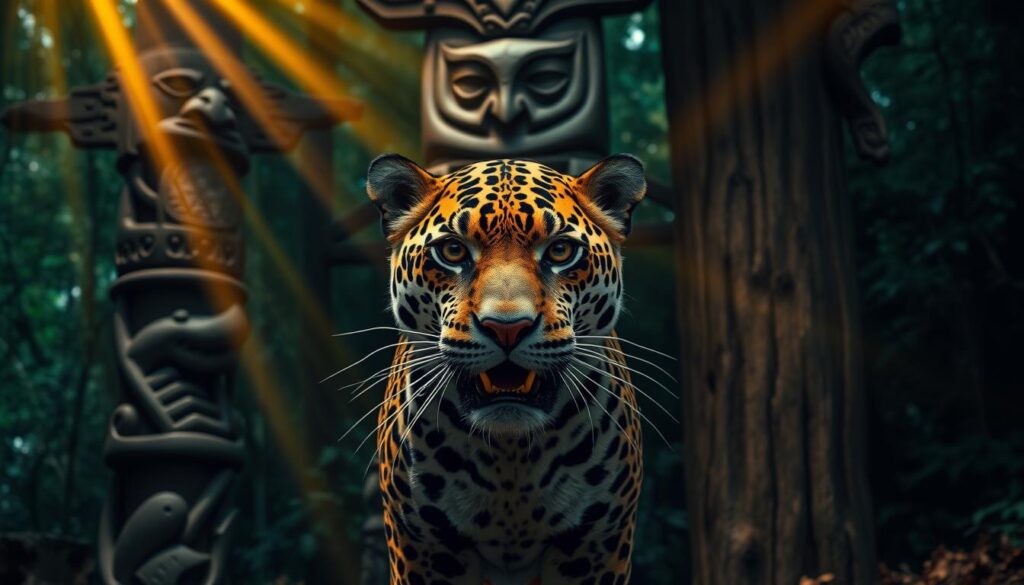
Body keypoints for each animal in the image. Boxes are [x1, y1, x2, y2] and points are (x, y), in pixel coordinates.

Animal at [364, 154, 647, 585]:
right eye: (453, 250)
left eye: (561, 251)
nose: (507, 327)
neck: (510, 461)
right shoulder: (425, 547)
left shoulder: (595, 545)